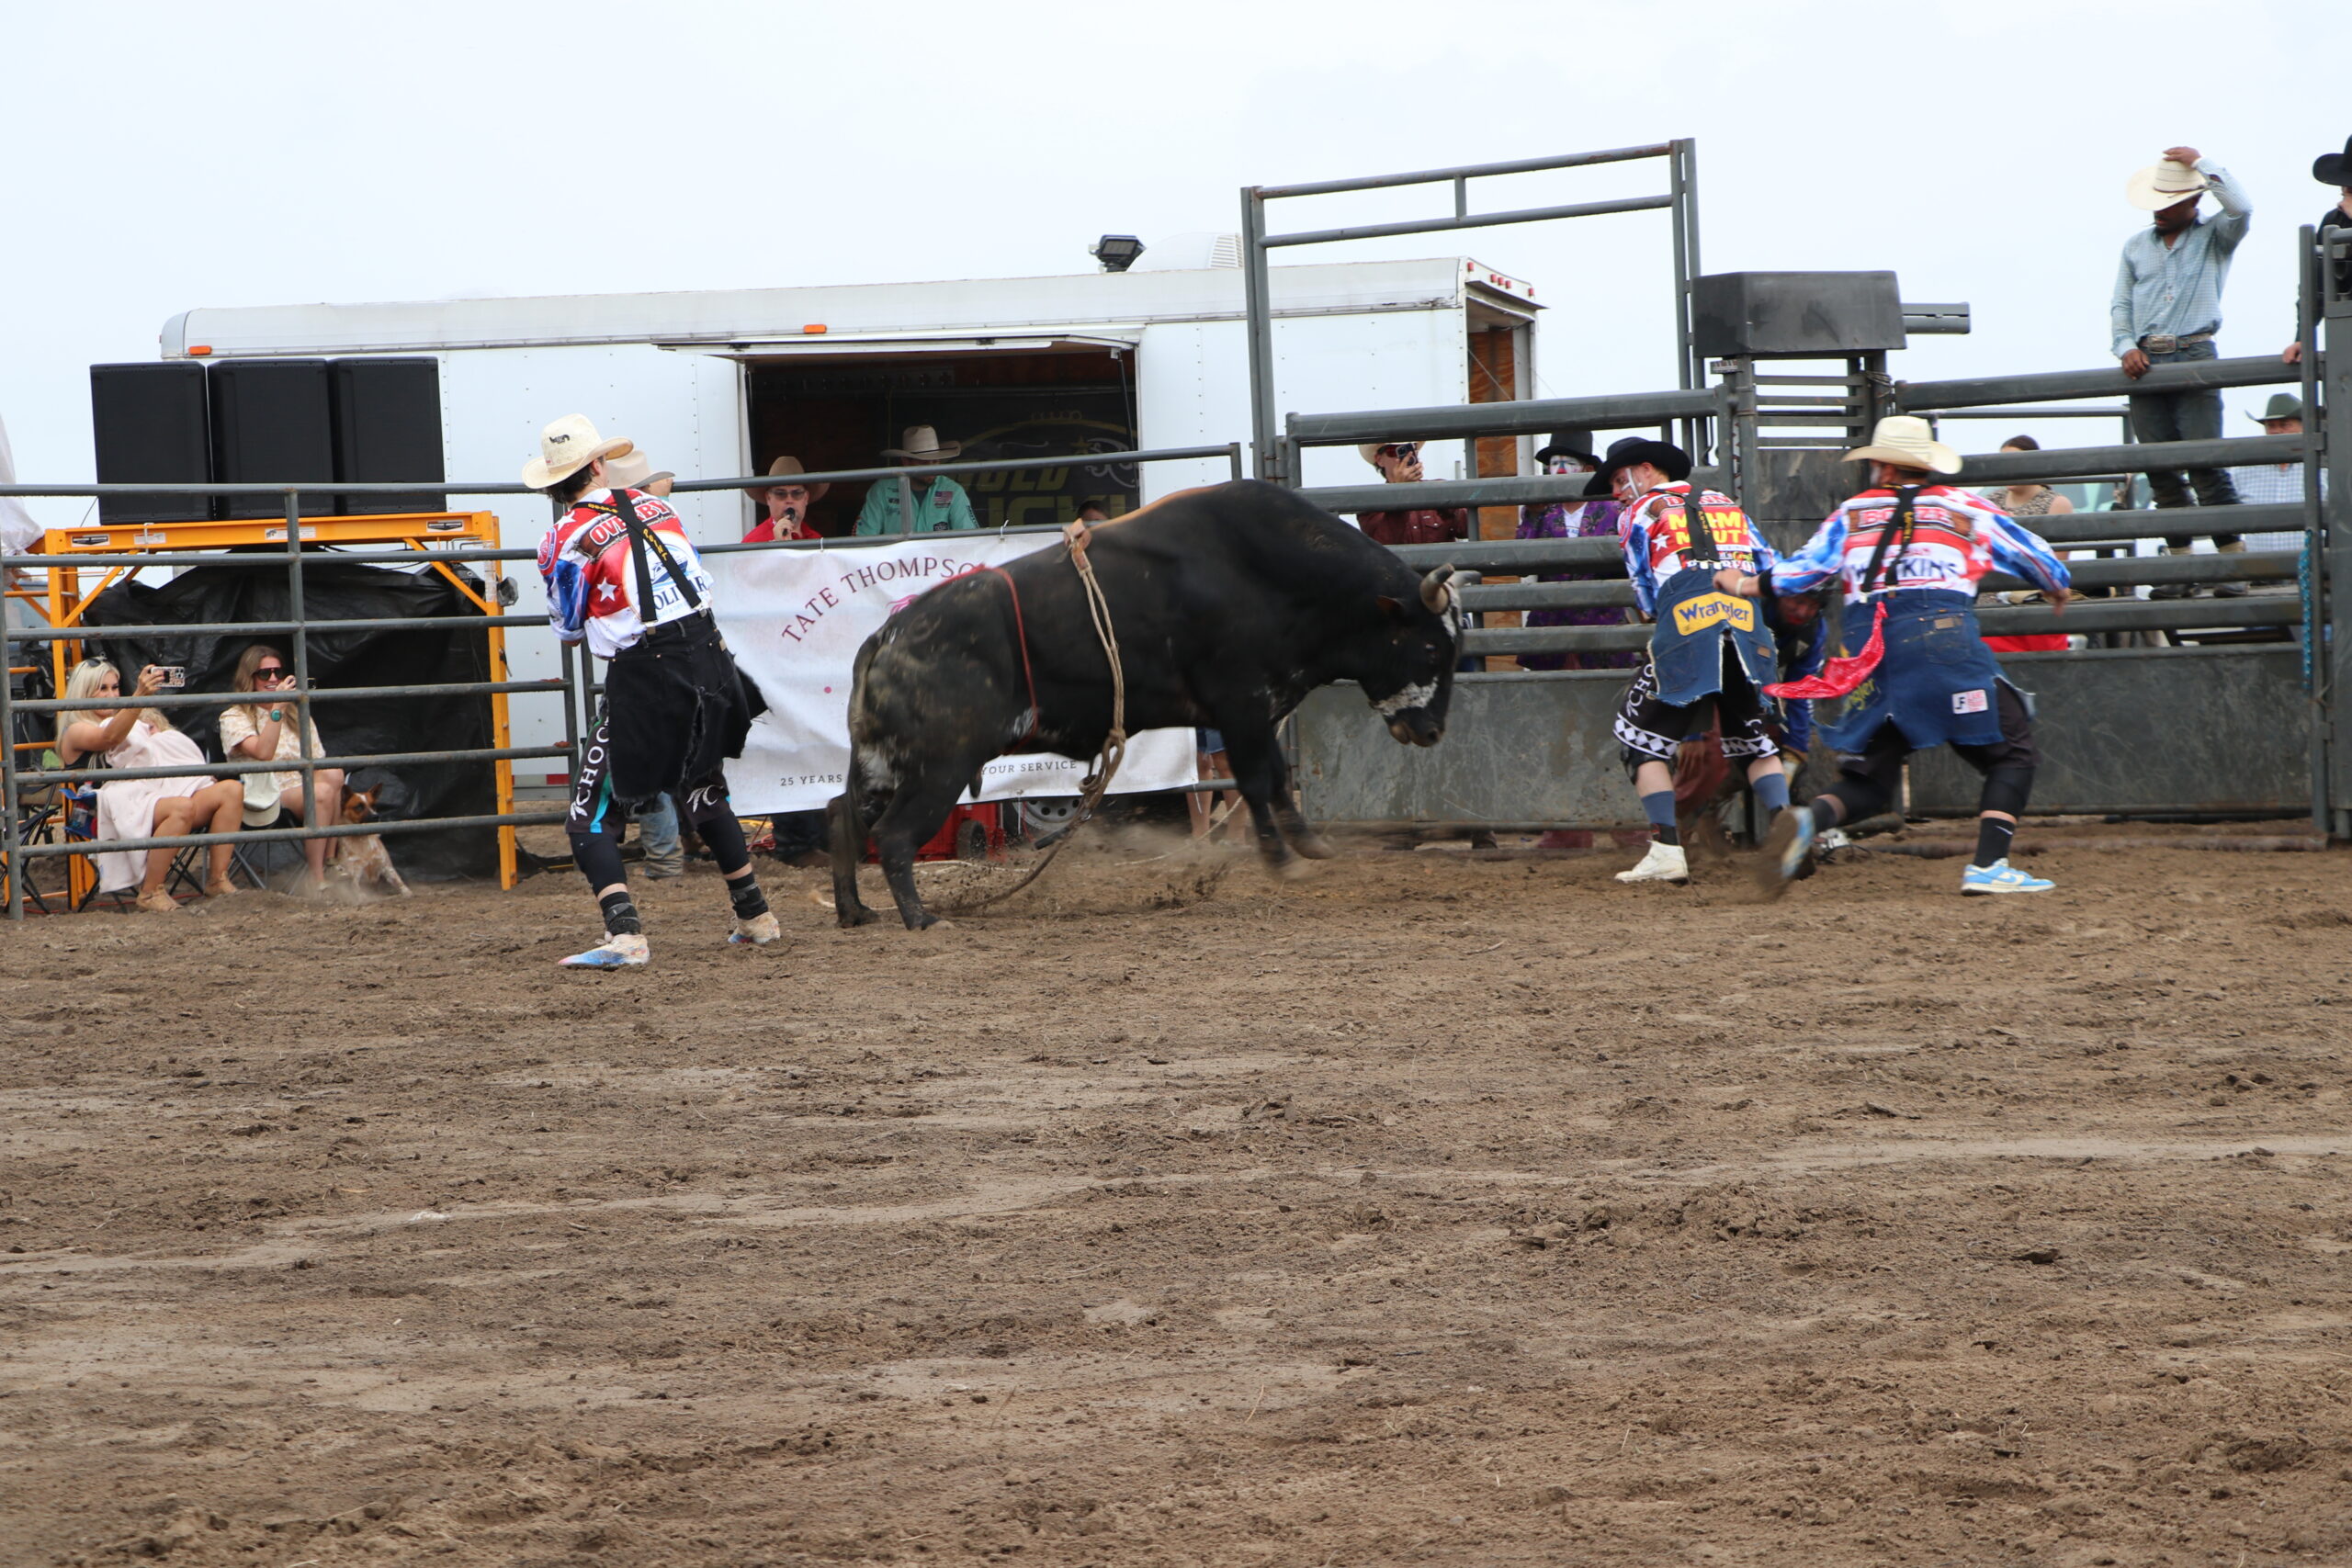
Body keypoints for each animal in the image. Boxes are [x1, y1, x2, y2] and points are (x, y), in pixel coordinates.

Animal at [827, 480, 1463, 930]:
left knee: (842, 814)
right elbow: (1259, 780)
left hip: (885, 764)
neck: (1274, 574)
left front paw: (1309, 844)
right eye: (1432, 646)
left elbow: (1278, 778)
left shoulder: (1258, 714)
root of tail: (885, 638)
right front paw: (1281, 860)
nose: (1434, 731)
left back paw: (856, 911)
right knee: (894, 835)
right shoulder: (1241, 707)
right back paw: (920, 919)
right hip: (940, 766)